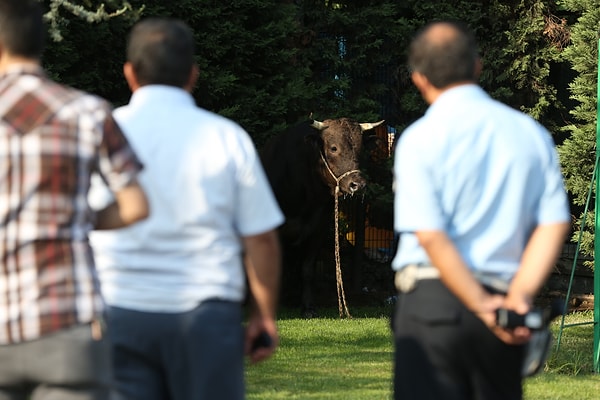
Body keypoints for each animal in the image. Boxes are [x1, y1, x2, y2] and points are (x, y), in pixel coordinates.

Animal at [262, 117, 384, 314]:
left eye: (361, 149)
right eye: (333, 148)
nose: (357, 184)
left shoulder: (319, 228)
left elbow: (307, 269)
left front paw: (307, 306)